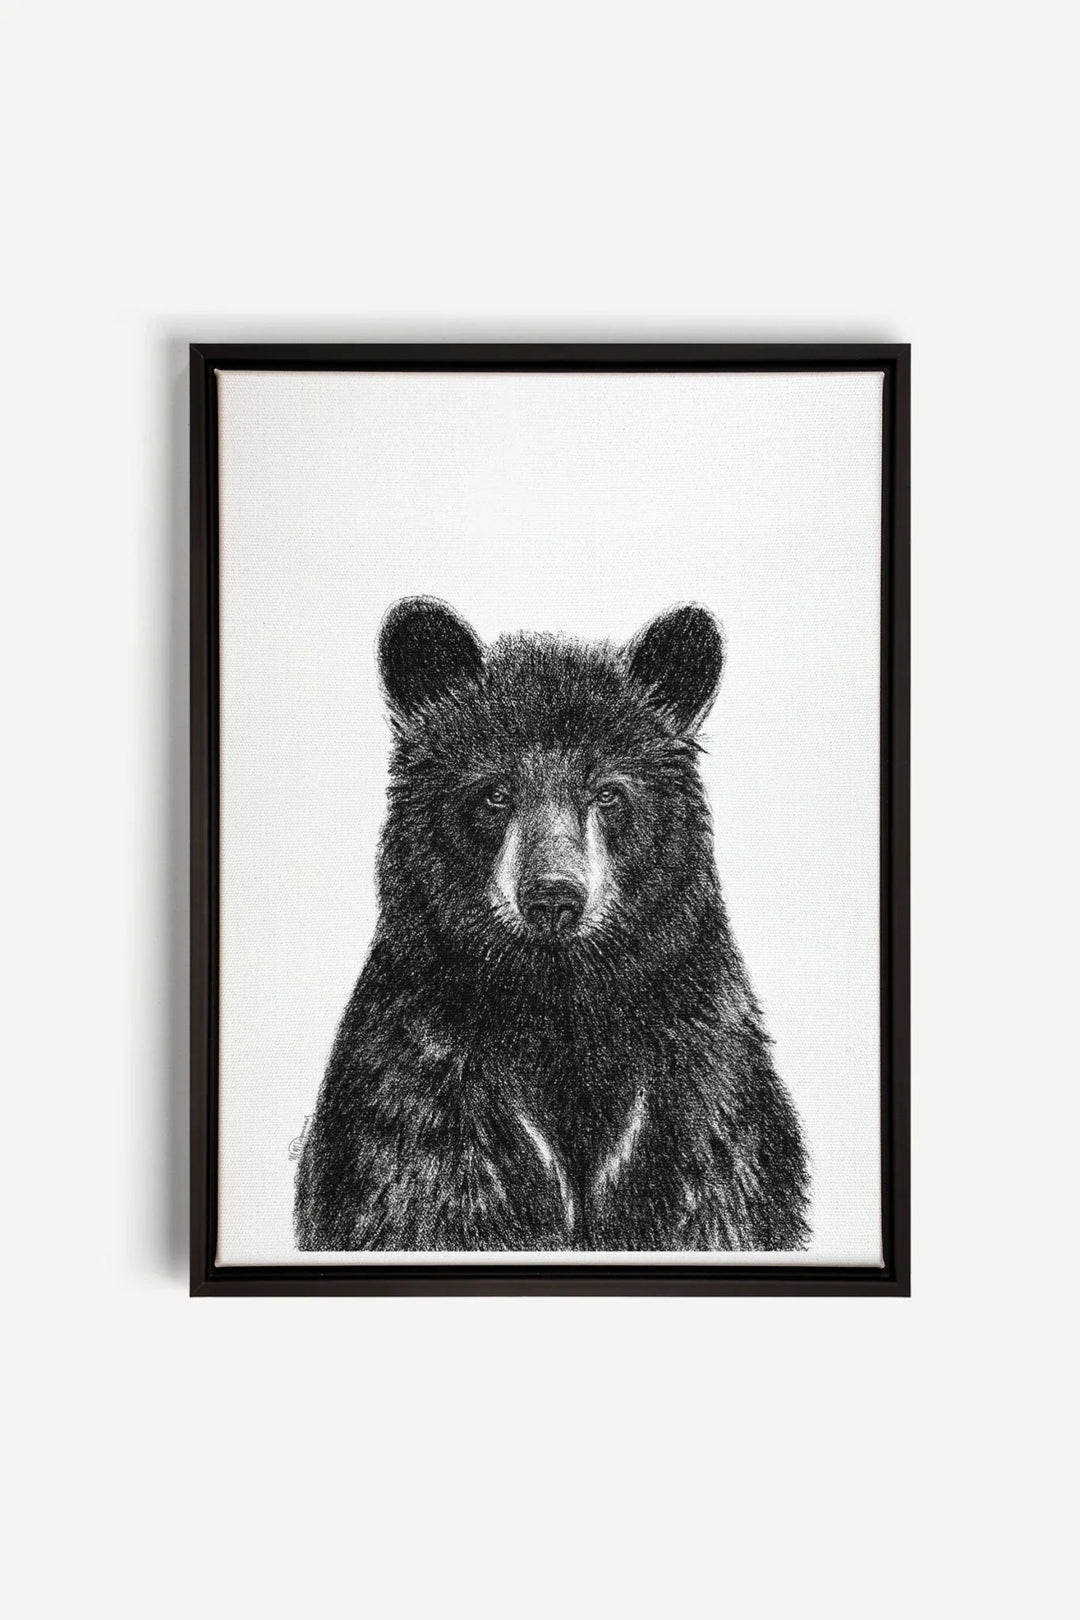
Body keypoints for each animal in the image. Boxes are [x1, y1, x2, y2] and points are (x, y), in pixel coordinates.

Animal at [294, 597, 809, 1252]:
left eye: (609, 793)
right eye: (495, 792)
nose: (553, 898)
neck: (558, 1005)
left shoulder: (698, 1098)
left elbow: (719, 1193)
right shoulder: (424, 1095)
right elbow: (420, 1194)